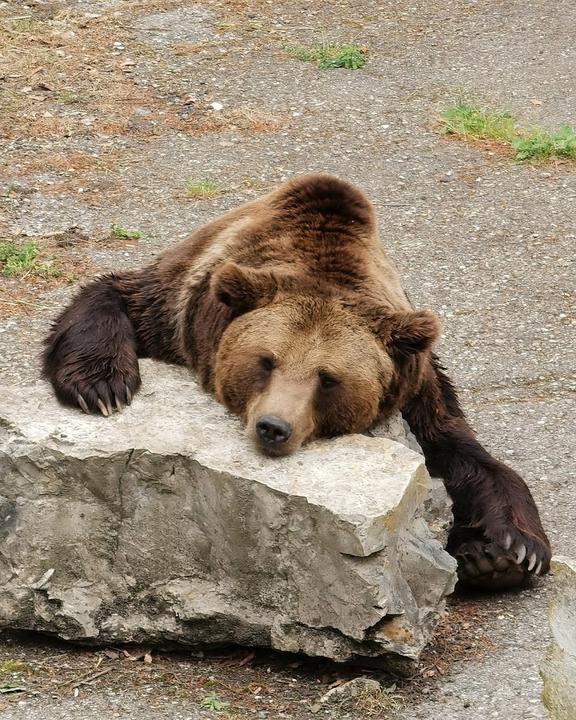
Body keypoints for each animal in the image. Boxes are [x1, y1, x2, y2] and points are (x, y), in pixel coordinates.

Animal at [42, 174, 552, 592]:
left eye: (328, 378)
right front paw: (101, 387)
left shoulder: (413, 385)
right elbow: (113, 292)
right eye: (266, 361)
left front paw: (511, 550)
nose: (273, 427)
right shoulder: (178, 309)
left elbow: (458, 449)